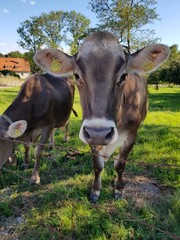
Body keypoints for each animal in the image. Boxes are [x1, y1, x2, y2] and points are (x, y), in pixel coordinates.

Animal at [34, 31, 170, 201]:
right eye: (76, 75)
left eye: (124, 76)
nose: (100, 133)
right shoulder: (90, 135)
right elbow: (98, 166)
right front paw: (95, 190)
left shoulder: (132, 134)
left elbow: (120, 165)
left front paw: (118, 189)